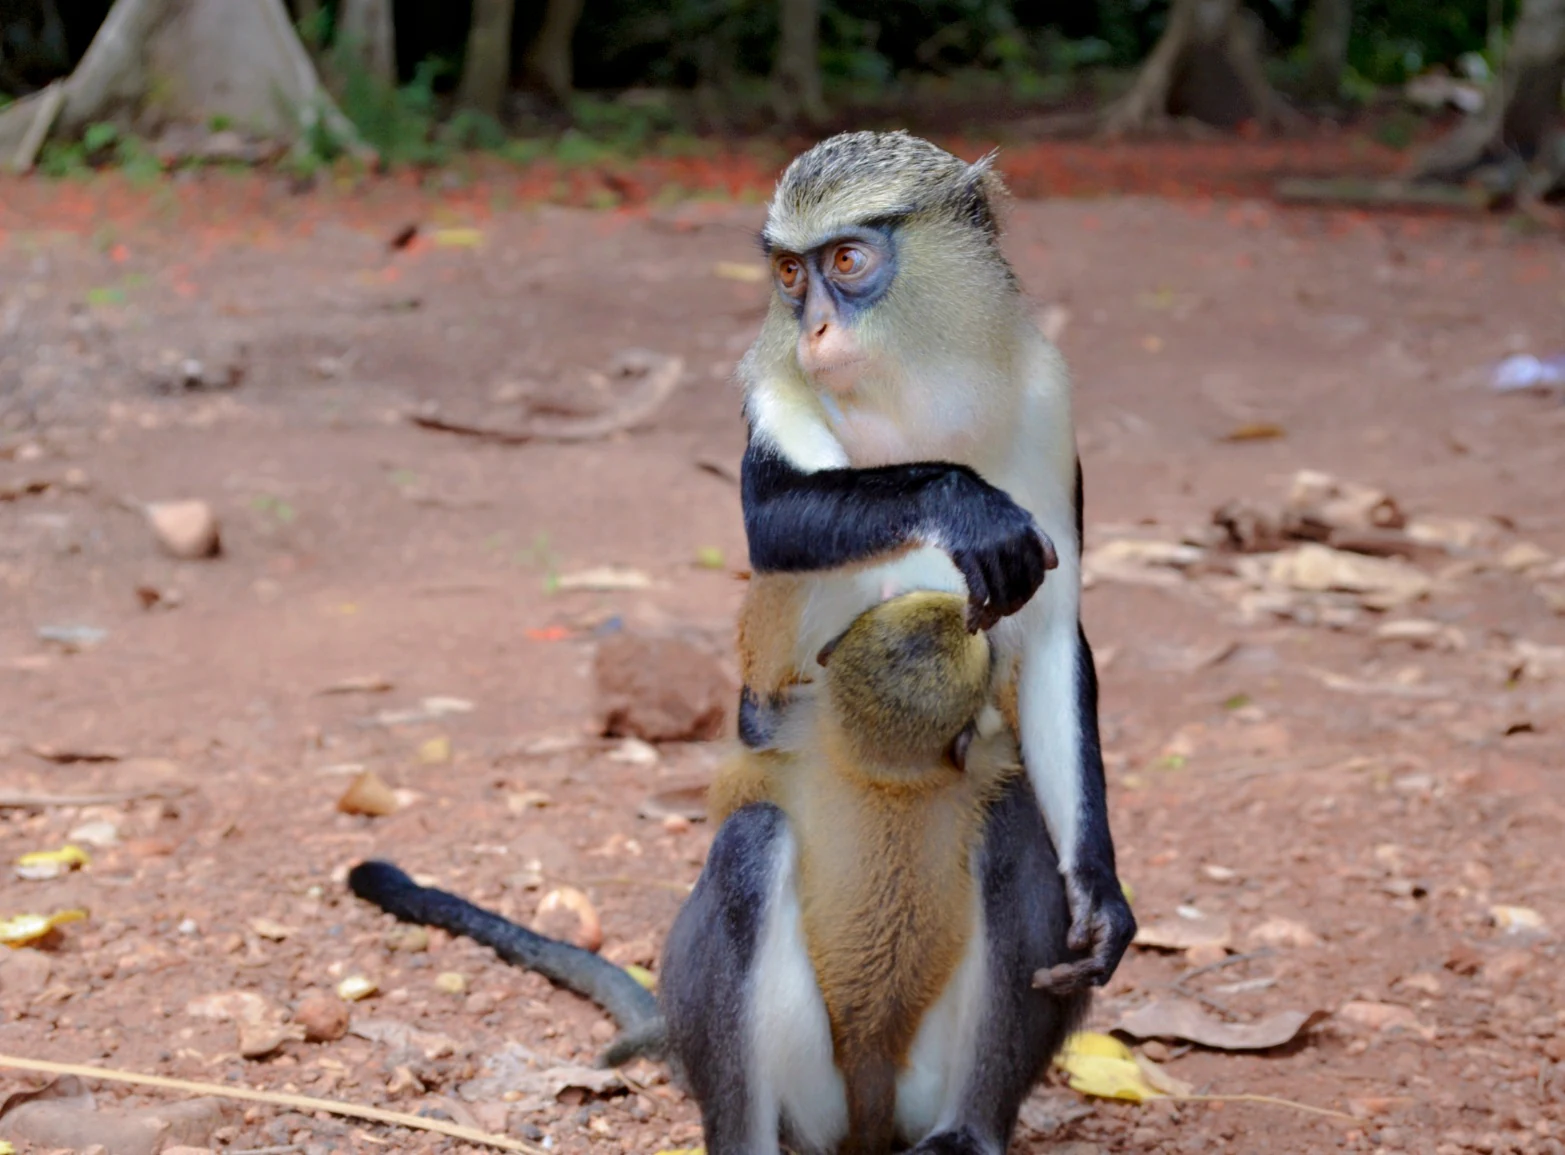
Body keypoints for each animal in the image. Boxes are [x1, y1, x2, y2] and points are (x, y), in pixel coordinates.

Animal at [731, 129, 1134, 993]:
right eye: (790, 274)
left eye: (846, 260)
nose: (812, 330)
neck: (913, 383)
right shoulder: (777, 389)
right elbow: (771, 517)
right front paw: (963, 502)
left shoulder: (1046, 396)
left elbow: (1052, 631)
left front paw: (1099, 893)